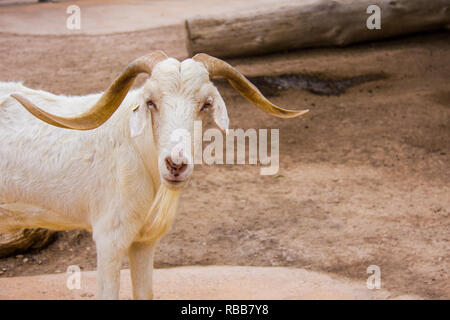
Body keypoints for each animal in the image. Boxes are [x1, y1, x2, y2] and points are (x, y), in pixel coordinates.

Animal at [0, 51, 310, 298]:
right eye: (151, 102)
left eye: (206, 104)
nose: (176, 164)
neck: (135, 150)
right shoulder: (109, 240)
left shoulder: (144, 242)